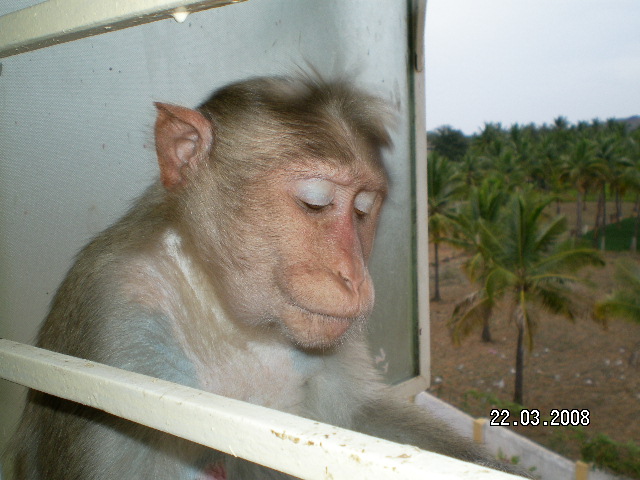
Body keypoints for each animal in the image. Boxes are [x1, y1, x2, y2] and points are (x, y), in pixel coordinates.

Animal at [3, 75, 532, 479]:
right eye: (315, 202)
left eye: (363, 210)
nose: (354, 276)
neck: (226, 313)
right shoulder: (115, 311)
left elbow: (358, 420)